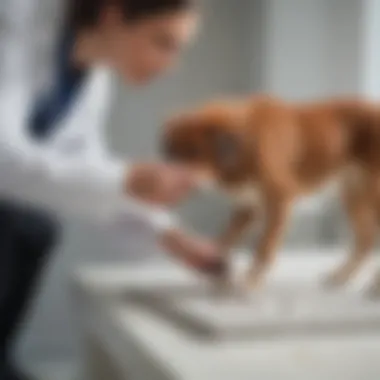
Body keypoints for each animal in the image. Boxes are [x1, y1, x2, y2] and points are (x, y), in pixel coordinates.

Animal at [164, 95, 380, 290]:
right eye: (173, 154)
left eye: (194, 153)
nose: (167, 174)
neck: (244, 145)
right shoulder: (248, 206)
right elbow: (224, 239)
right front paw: (210, 265)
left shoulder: (279, 199)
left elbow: (264, 246)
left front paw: (250, 281)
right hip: (353, 196)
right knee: (366, 240)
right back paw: (340, 277)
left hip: (371, 196)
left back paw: (373, 287)